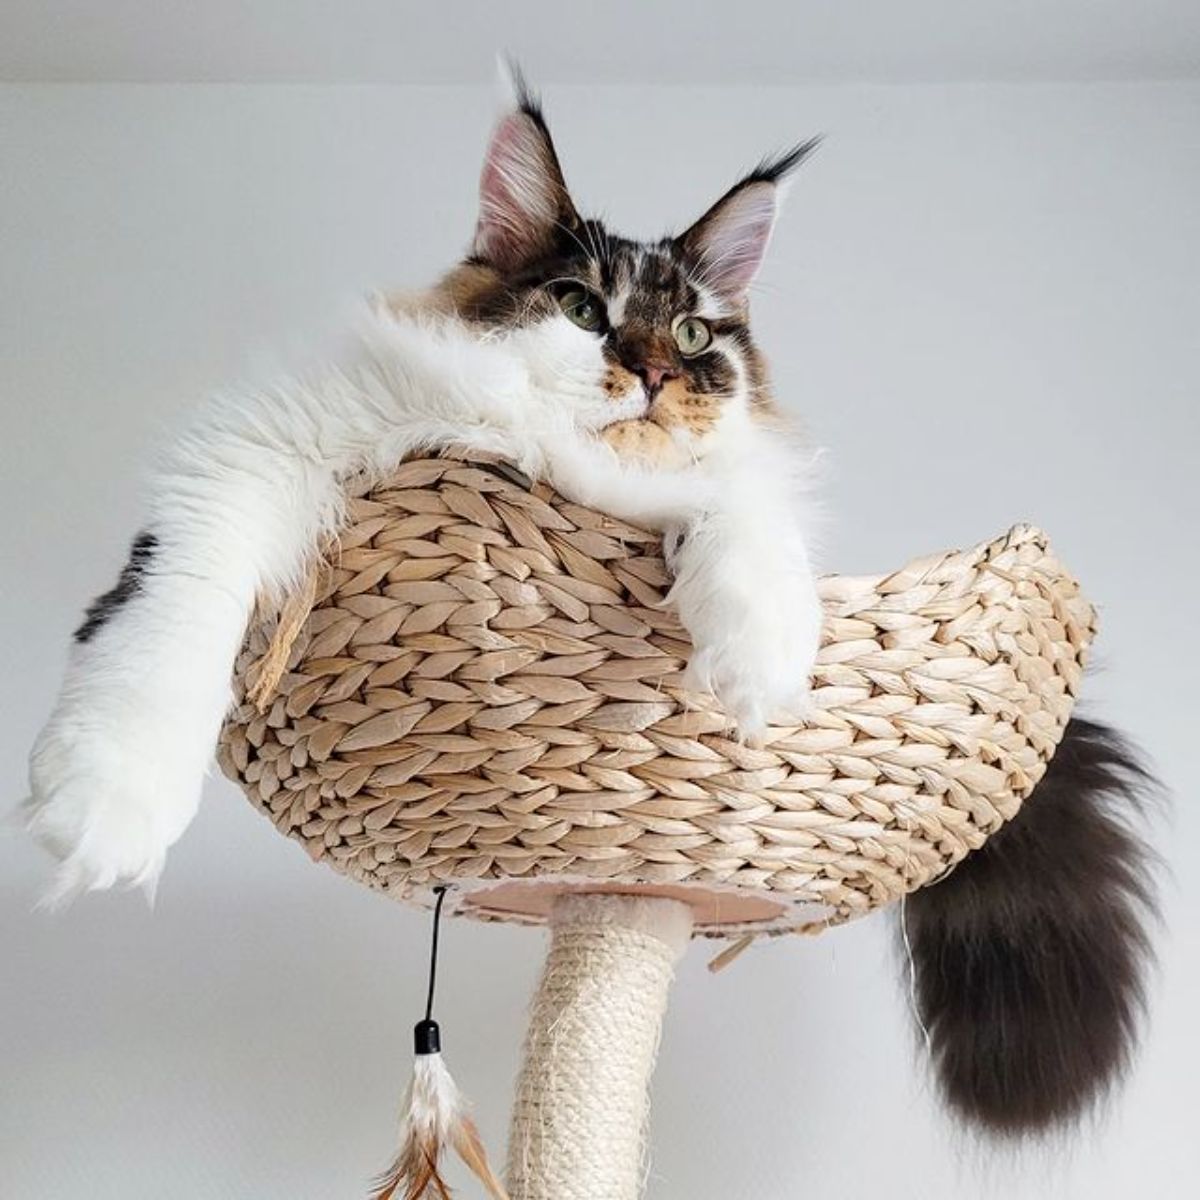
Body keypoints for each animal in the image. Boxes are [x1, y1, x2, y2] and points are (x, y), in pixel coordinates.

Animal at [23, 72, 825, 902]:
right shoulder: (258, 446)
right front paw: (110, 797)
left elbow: (746, 506)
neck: (555, 455)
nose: (656, 374)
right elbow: (180, 602)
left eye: (693, 336)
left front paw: (761, 662)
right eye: (582, 310)